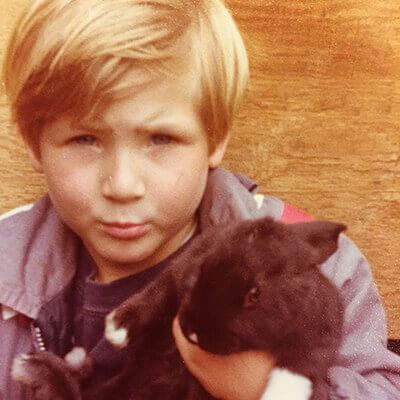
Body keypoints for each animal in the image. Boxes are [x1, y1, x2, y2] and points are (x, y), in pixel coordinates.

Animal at [11, 217, 344, 400]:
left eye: (254, 294)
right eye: (200, 271)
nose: (193, 332)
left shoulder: (319, 332)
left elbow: (301, 367)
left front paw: (279, 395)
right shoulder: (179, 271)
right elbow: (157, 294)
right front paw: (118, 327)